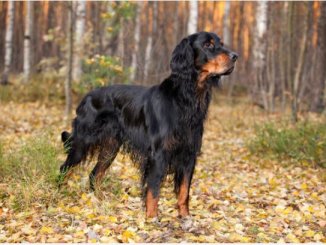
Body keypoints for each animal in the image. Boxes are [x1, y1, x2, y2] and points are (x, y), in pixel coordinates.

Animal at [59, 31, 237, 217]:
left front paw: (185, 216)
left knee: (94, 175)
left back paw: (100, 202)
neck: (185, 98)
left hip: (110, 147)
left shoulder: (189, 153)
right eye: (208, 45)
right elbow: (153, 190)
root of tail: (86, 97)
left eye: (221, 43)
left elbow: (184, 190)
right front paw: (151, 218)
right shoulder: (158, 153)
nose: (235, 56)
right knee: (64, 169)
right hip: (82, 142)